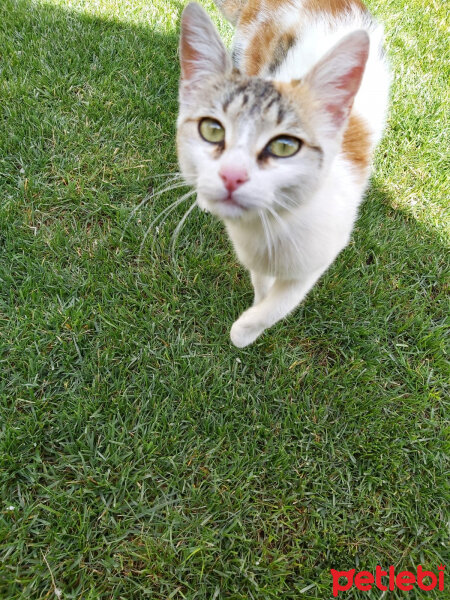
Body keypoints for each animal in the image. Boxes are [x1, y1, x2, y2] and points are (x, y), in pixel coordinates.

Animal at [176, 0, 390, 346]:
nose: (232, 175)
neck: (270, 225)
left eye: (285, 146)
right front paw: (257, 301)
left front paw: (244, 331)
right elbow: (262, 283)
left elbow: (281, 303)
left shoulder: (317, 260)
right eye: (212, 129)